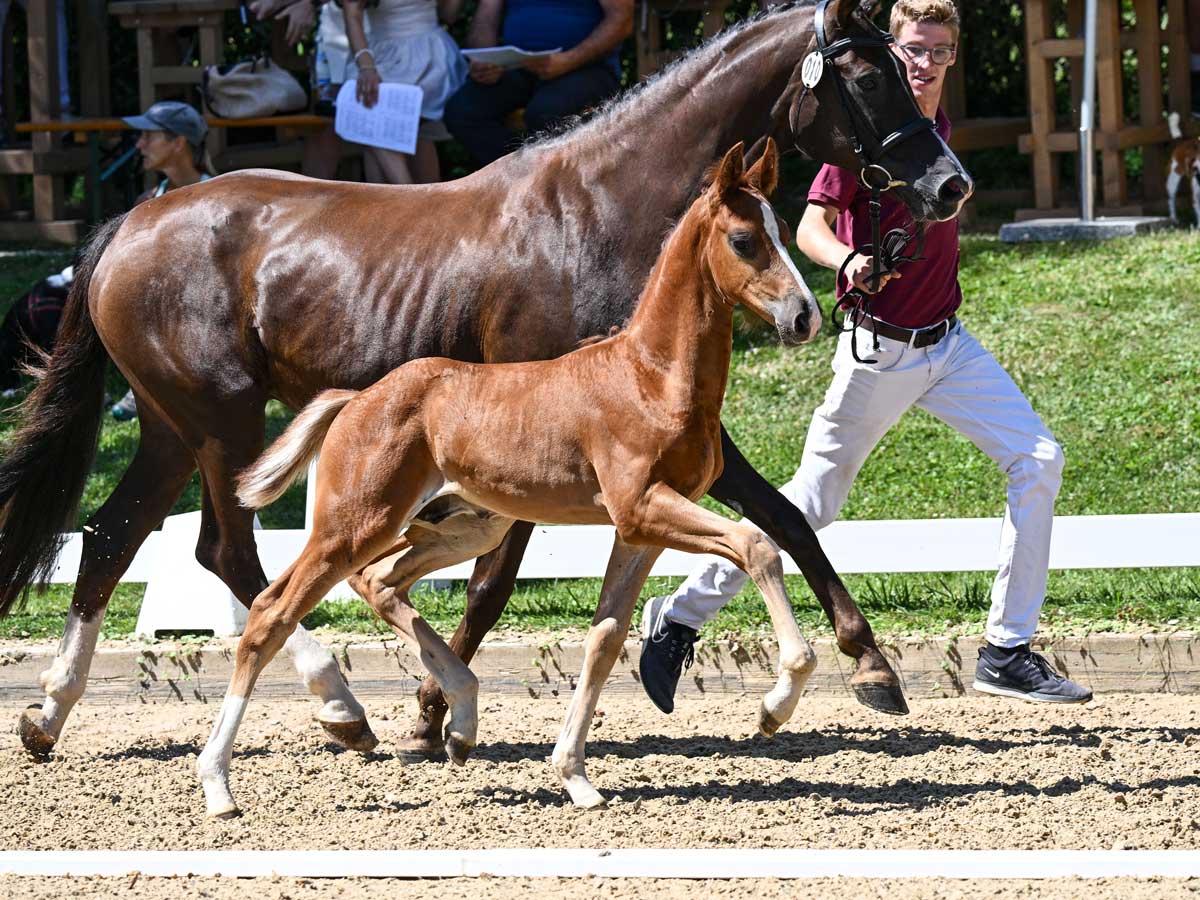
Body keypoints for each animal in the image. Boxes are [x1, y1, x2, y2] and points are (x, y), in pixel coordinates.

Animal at [199, 141, 825, 816]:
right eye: (743, 240)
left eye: (783, 230)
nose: (805, 317)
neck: (651, 377)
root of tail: (357, 399)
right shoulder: (642, 507)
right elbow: (757, 545)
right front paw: (776, 705)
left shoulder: (639, 531)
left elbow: (605, 638)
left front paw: (575, 777)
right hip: (353, 524)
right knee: (271, 613)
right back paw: (220, 784)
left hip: (468, 527)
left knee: (380, 581)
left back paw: (462, 722)